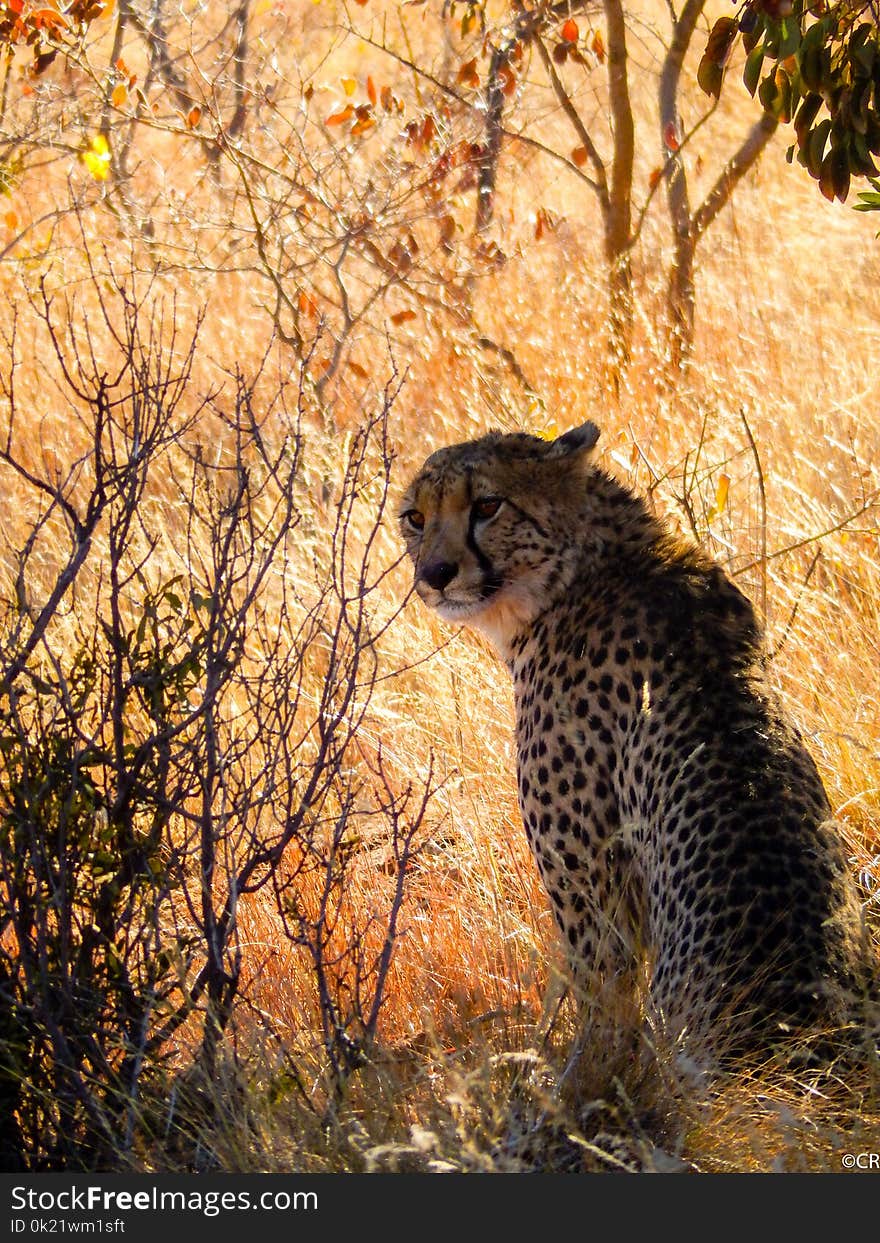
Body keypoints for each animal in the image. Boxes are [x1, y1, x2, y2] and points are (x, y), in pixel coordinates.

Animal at [400, 420, 875, 1059]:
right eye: (415, 518)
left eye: (488, 506)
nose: (435, 574)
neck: (580, 572)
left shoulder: (593, 899)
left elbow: (602, 1014)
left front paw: (568, 1075)